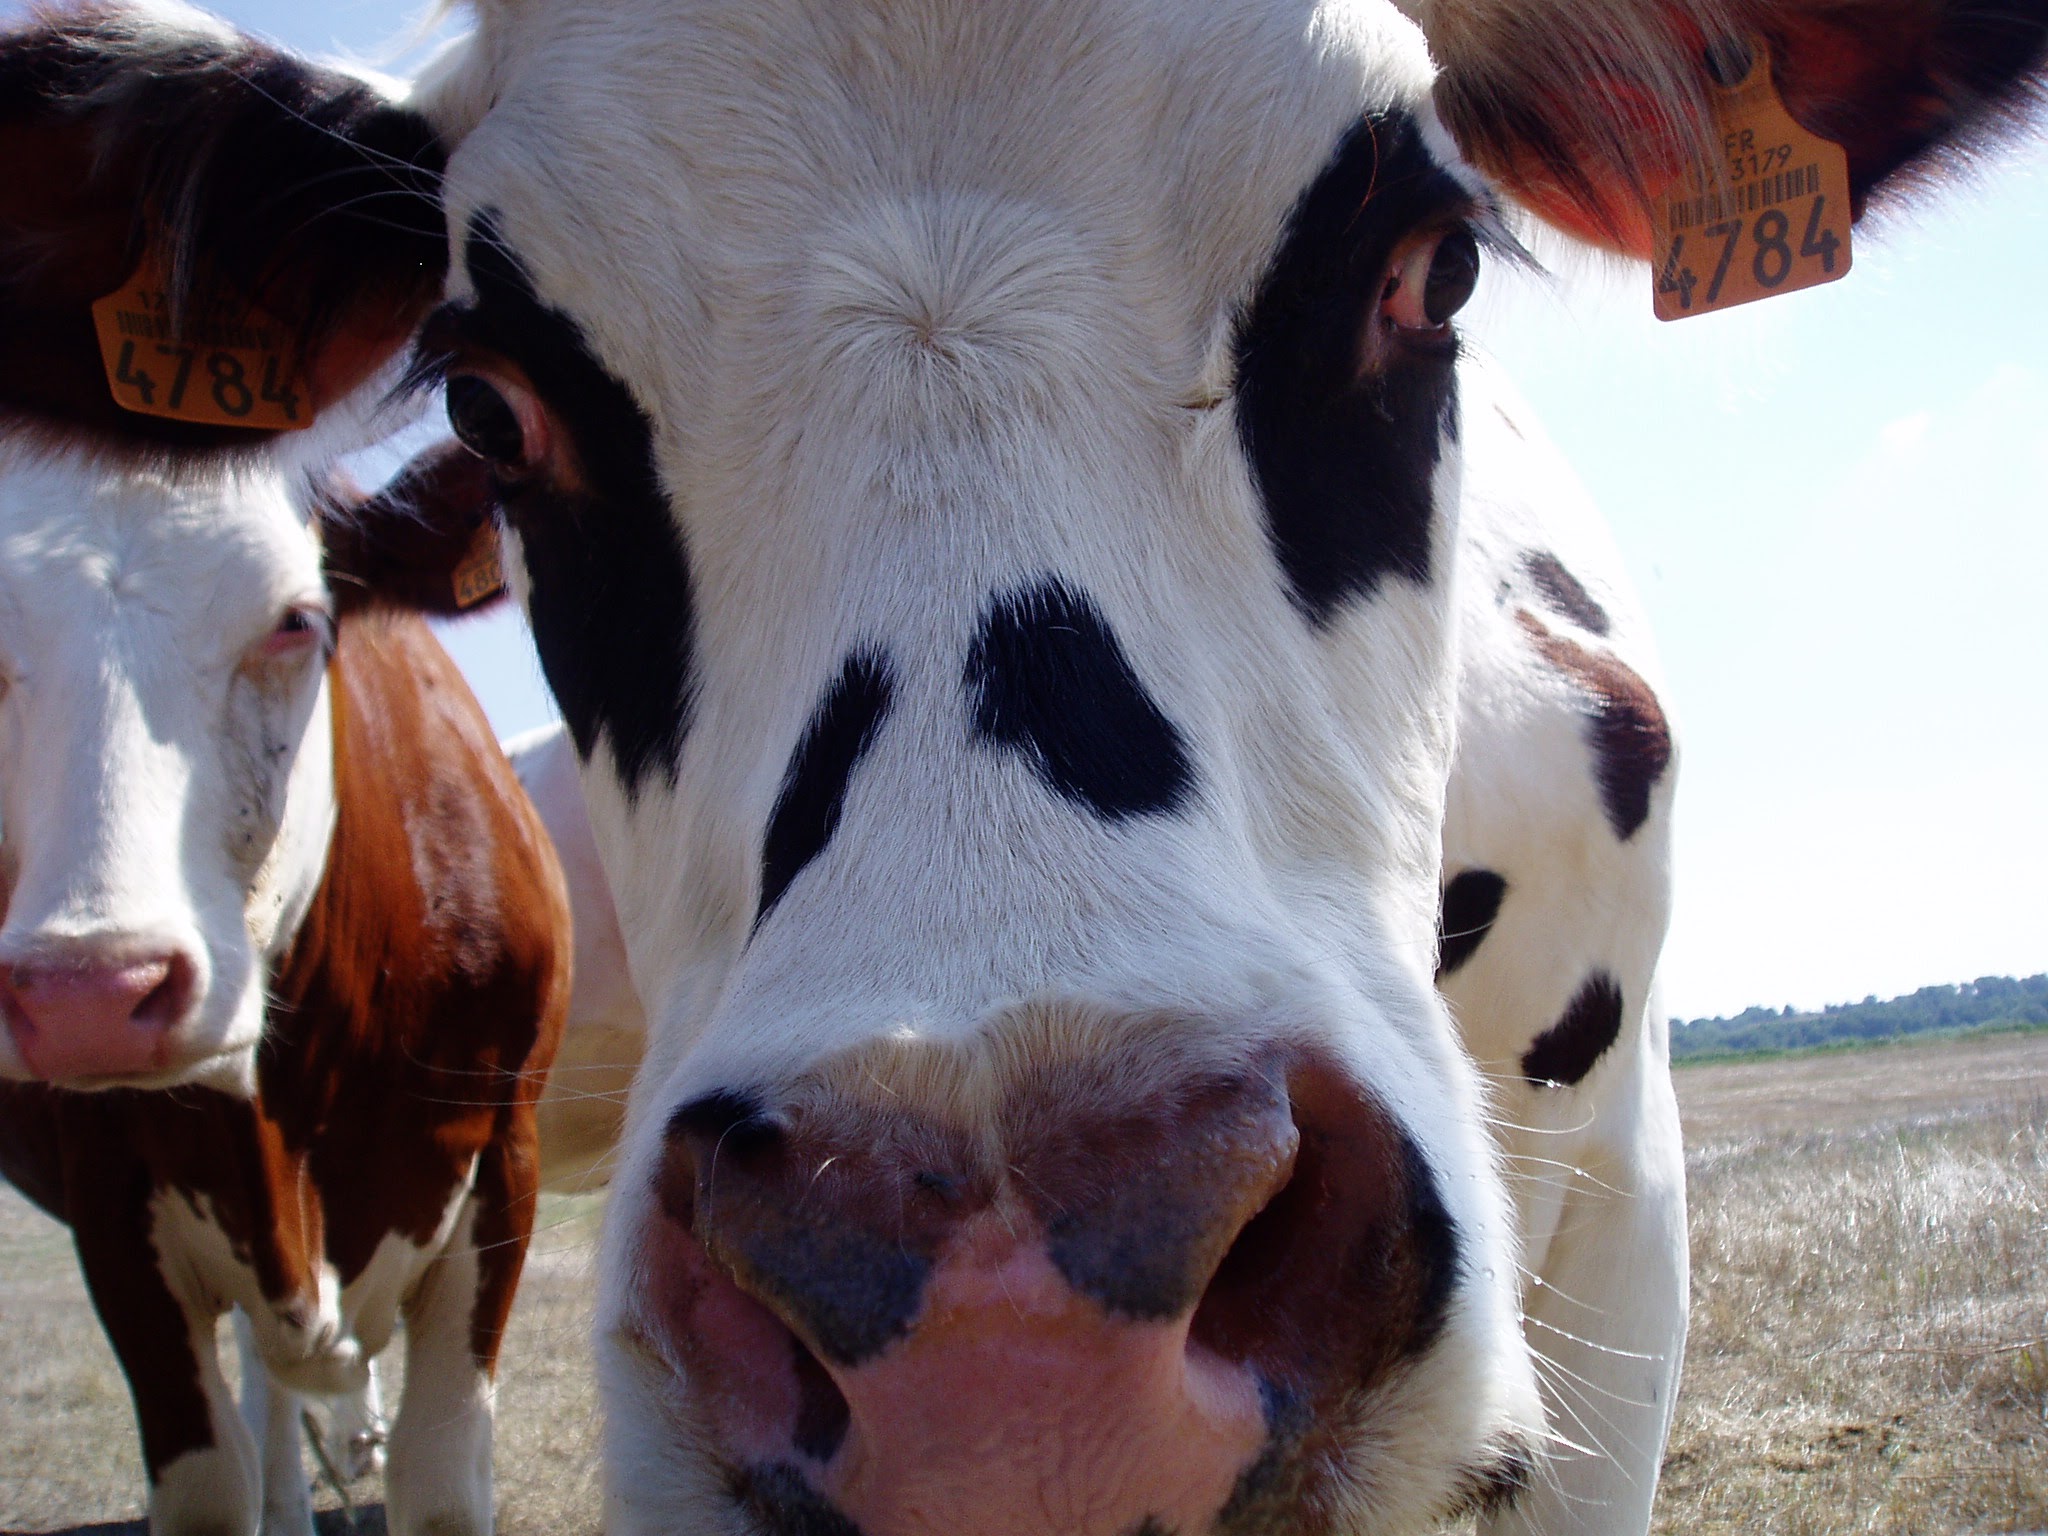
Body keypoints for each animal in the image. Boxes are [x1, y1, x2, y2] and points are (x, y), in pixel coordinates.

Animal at [0, 444, 573, 1536]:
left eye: (295, 620)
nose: (91, 994)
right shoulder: (109, 1202)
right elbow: (206, 1485)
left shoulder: (505, 1155)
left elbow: (440, 1478)